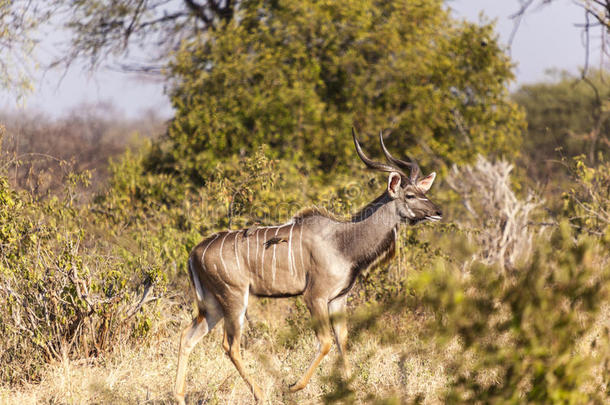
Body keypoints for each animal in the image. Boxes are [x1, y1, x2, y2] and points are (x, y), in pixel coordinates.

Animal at [173, 128, 440, 402]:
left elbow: (342, 340)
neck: (343, 242)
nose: (437, 211)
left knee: (187, 336)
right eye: (410, 195)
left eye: (424, 192)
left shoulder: (338, 299)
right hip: (234, 298)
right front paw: (292, 386)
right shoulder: (315, 296)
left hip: (214, 305)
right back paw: (260, 394)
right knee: (230, 345)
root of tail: (194, 253)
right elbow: (326, 342)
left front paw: (349, 389)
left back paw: (180, 396)